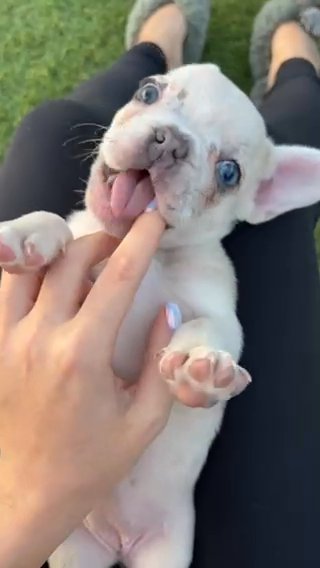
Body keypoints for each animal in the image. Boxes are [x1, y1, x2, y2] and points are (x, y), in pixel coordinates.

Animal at [0, 63, 320, 568]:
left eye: (229, 173)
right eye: (148, 92)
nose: (170, 142)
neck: (149, 252)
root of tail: (119, 539)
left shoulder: (223, 315)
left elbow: (208, 326)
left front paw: (200, 365)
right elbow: (58, 225)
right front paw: (26, 234)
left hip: (164, 550)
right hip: (76, 548)